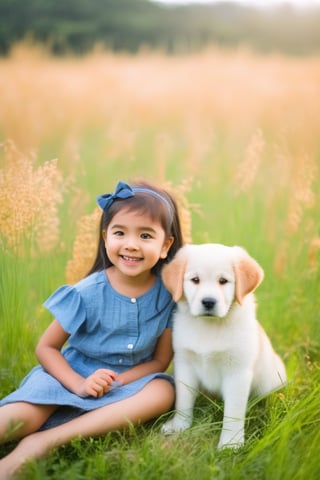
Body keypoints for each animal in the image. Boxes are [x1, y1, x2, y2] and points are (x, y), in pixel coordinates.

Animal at [161, 244, 286, 450]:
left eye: (223, 281)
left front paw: (230, 443)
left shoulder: (237, 372)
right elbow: (183, 400)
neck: (210, 326)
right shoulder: (184, 364)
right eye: (195, 280)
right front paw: (179, 426)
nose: (208, 302)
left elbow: (233, 412)